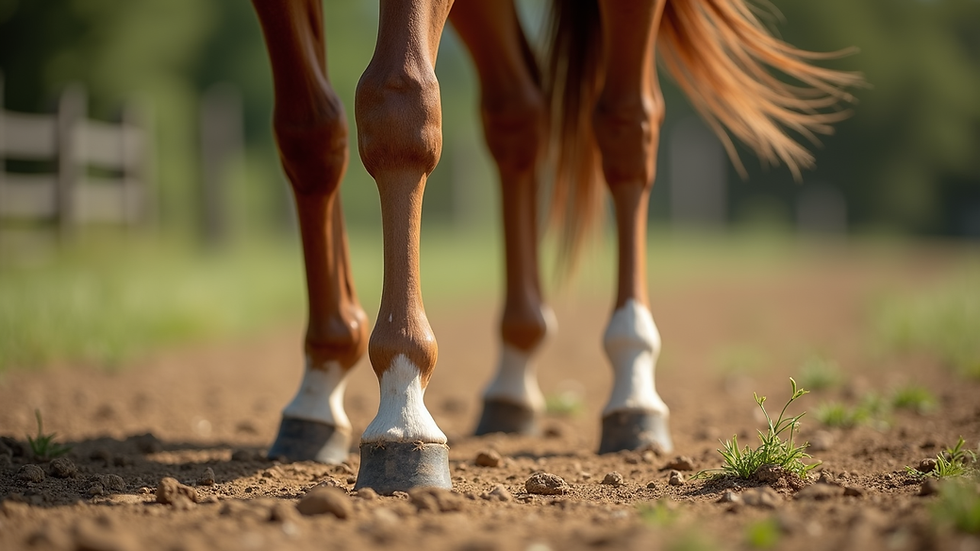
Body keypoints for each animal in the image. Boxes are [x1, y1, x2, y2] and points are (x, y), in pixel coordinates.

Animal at [249, 0, 860, 495]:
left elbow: (399, 99)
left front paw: (403, 410)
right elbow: (308, 131)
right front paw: (320, 382)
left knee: (627, 124)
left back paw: (632, 384)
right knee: (518, 113)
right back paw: (514, 377)